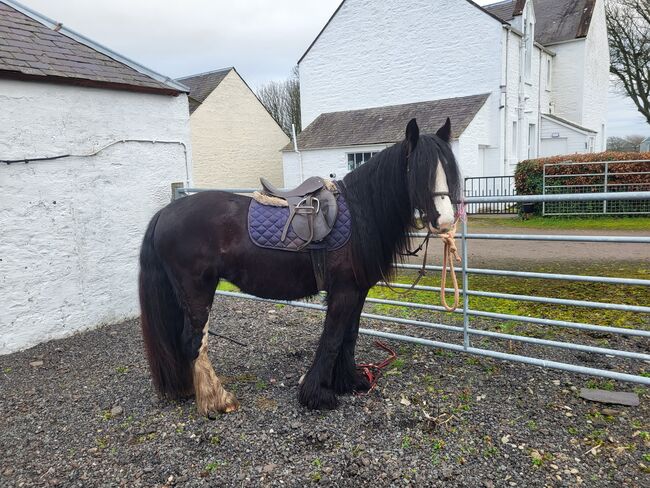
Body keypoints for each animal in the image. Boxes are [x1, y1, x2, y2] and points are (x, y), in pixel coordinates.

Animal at [138, 118, 460, 416]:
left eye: (449, 170)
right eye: (418, 171)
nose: (445, 221)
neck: (361, 213)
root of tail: (165, 213)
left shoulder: (357, 291)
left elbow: (349, 336)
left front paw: (349, 381)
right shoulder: (343, 292)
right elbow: (332, 338)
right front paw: (317, 394)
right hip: (197, 292)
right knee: (194, 342)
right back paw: (216, 401)